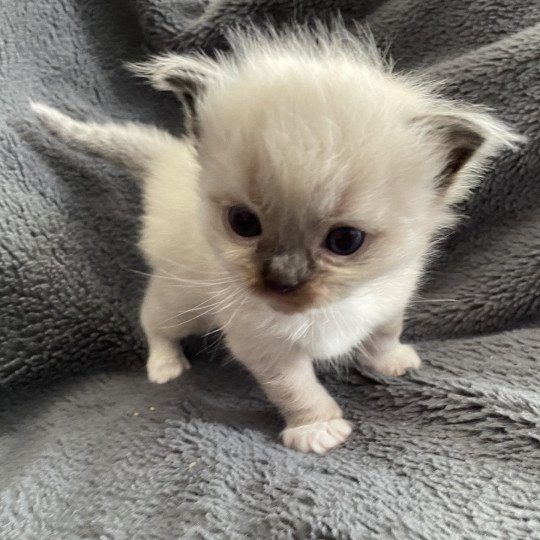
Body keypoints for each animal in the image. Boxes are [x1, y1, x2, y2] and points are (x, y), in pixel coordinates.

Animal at [30, 26, 524, 456]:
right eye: (244, 223)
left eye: (345, 240)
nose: (281, 279)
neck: (328, 310)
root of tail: (172, 159)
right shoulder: (264, 344)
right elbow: (297, 389)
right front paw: (318, 430)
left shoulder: (390, 296)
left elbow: (385, 333)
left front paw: (390, 362)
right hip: (183, 300)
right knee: (153, 320)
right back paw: (165, 366)